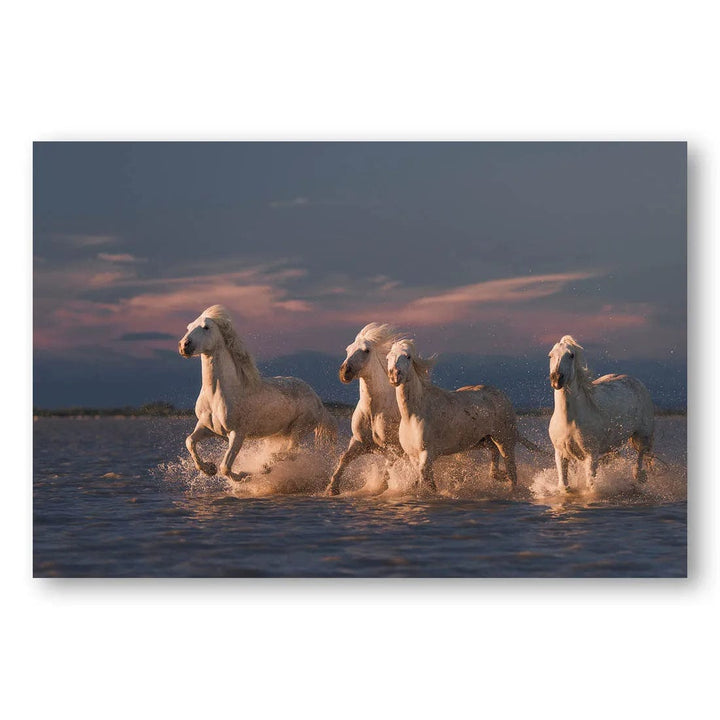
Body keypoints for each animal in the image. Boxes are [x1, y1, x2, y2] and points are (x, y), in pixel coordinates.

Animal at [180, 304, 338, 478]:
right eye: (188, 327)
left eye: (206, 327)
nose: (184, 345)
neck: (217, 395)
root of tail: (318, 400)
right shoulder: (207, 428)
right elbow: (190, 441)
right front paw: (208, 468)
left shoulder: (237, 433)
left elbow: (226, 467)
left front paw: (243, 476)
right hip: (280, 433)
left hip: (299, 428)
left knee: (293, 452)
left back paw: (266, 465)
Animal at [326, 322, 404, 496]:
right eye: (348, 349)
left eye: (366, 350)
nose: (344, 371)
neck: (374, 411)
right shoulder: (360, 442)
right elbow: (344, 459)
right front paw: (332, 489)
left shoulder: (395, 448)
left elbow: (388, 467)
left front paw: (382, 487)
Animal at [388, 340, 516, 492]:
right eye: (388, 357)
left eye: (407, 356)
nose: (394, 375)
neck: (413, 416)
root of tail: (502, 395)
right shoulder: (413, 456)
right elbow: (425, 479)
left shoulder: (427, 453)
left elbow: (425, 477)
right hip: (484, 440)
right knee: (495, 454)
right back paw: (499, 476)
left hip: (504, 440)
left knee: (511, 469)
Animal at [548, 336, 656, 492]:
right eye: (550, 355)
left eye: (571, 355)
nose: (556, 379)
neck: (569, 419)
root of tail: (637, 382)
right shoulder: (561, 453)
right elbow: (564, 486)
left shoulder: (591, 454)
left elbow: (590, 486)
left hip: (642, 435)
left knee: (641, 453)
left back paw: (638, 476)